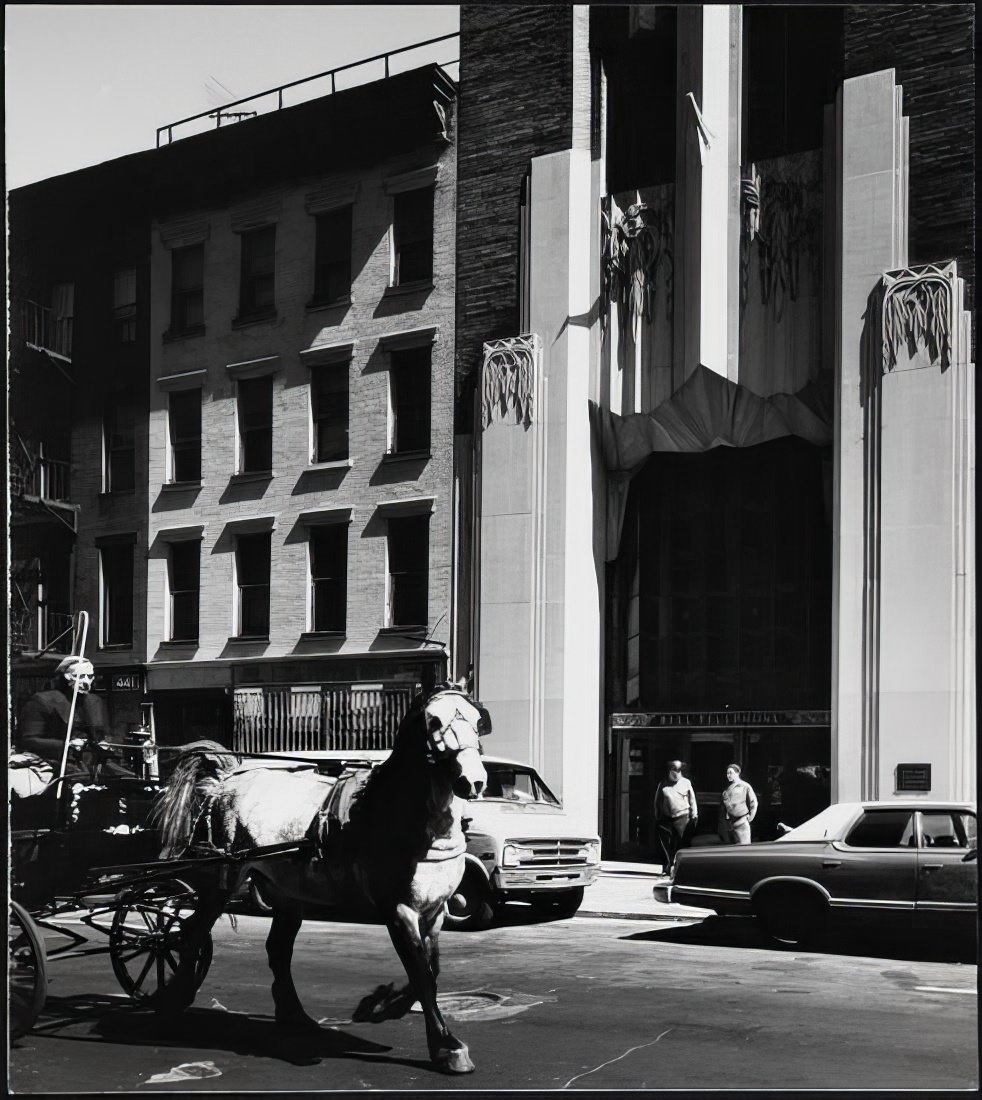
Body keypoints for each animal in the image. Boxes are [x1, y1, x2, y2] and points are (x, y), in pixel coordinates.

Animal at [151, 677, 488, 1073]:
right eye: (433, 721)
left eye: (477, 721)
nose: (473, 781)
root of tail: (224, 782)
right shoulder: (399, 910)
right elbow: (421, 974)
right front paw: (446, 1046)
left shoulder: (434, 912)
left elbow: (431, 970)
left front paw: (382, 1006)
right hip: (223, 881)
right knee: (192, 932)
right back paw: (172, 1001)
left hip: (287, 893)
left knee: (278, 950)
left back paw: (295, 1017)